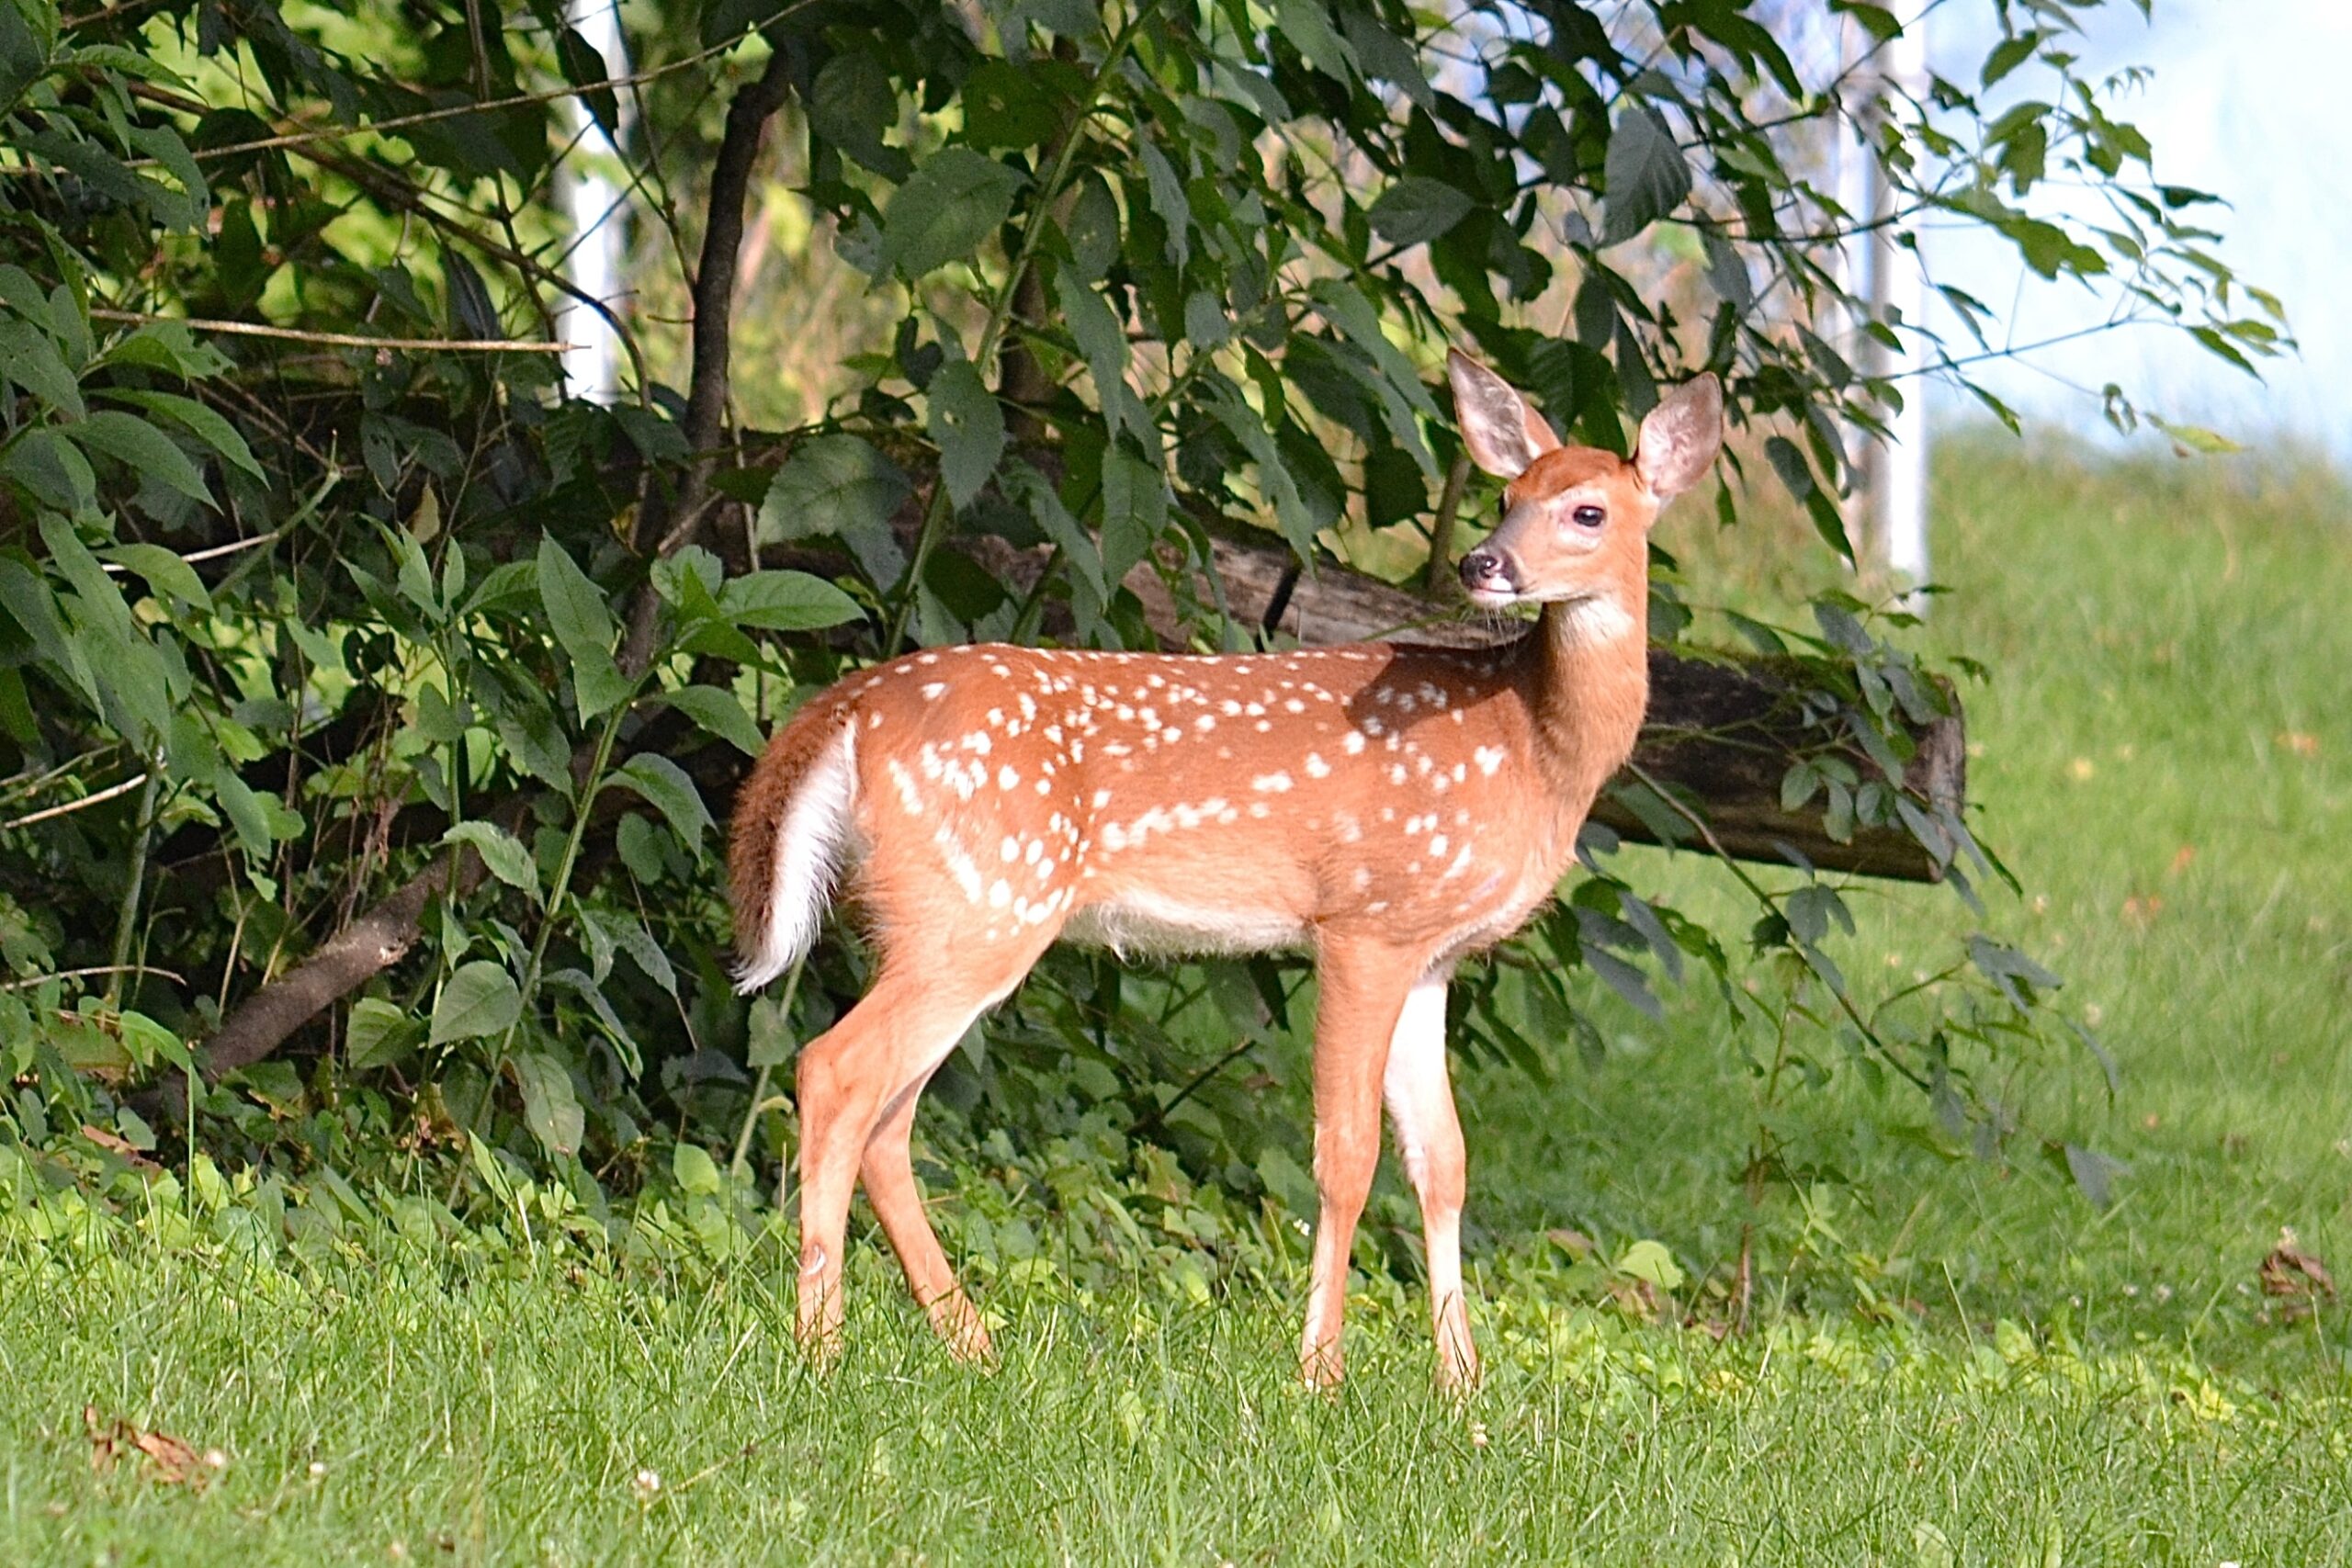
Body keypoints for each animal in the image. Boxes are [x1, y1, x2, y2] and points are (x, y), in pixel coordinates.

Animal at [727, 350, 1722, 1389]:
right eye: (1505, 497)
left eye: (1586, 511)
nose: (1483, 564)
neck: (1533, 745)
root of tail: (847, 707)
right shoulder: (1363, 922)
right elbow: (1347, 1153)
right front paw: (1321, 1372)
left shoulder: (1432, 952)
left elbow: (1443, 1160)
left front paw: (1460, 1385)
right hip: (980, 904)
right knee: (836, 1071)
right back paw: (822, 1348)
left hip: (944, 917)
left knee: (889, 1117)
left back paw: (973, 1344)